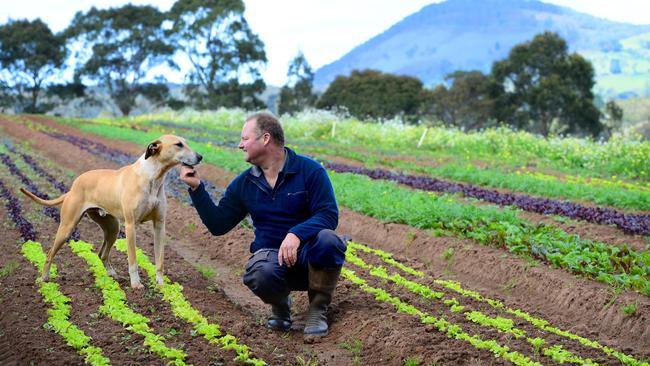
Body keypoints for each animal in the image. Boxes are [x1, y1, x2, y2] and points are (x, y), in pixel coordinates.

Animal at [20, 134, 200, 288]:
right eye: (178, 144)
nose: (200, 157)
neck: (152, 177)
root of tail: (72, 187)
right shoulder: (131, 226)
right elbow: (133, 260)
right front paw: (136, 284)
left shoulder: (159, 225)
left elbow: (160, 260)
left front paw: (161, 285)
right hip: (67, 227)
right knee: (50, 253)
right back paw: (44, 278)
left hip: (113, 228)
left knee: (102, 254)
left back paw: (112, 274)